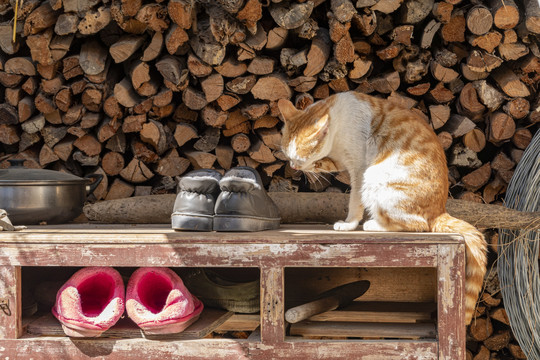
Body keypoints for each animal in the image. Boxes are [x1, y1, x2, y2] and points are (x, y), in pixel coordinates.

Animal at [278, 91, 490, 324]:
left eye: (298, 159)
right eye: (287, 156)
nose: (293, 166)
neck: (337, 121)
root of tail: (439, 211)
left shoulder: (359, 168)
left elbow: (354, 199)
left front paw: (349, 224)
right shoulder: (340, 160)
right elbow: (325, 164)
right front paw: (316, 168)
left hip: (376, 178)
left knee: (417, 224)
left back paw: (373, 225)